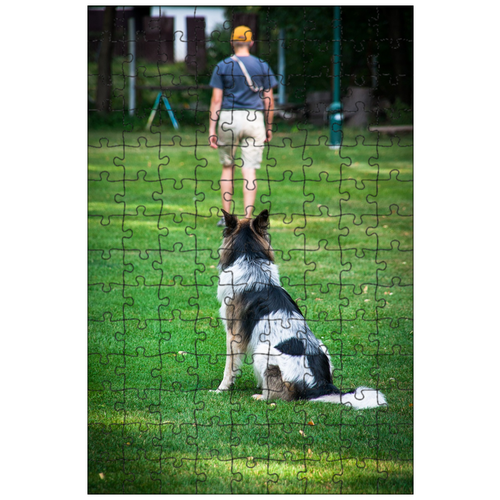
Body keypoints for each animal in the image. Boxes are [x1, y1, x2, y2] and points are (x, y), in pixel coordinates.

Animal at [216, 209, 386, 408]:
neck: (250, 261)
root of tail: (320, 386)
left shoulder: (234, 334)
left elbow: (229, 366)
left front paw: (221, 389)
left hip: (262, 350)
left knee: (278, 396)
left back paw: (260, 396)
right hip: (322, 346)